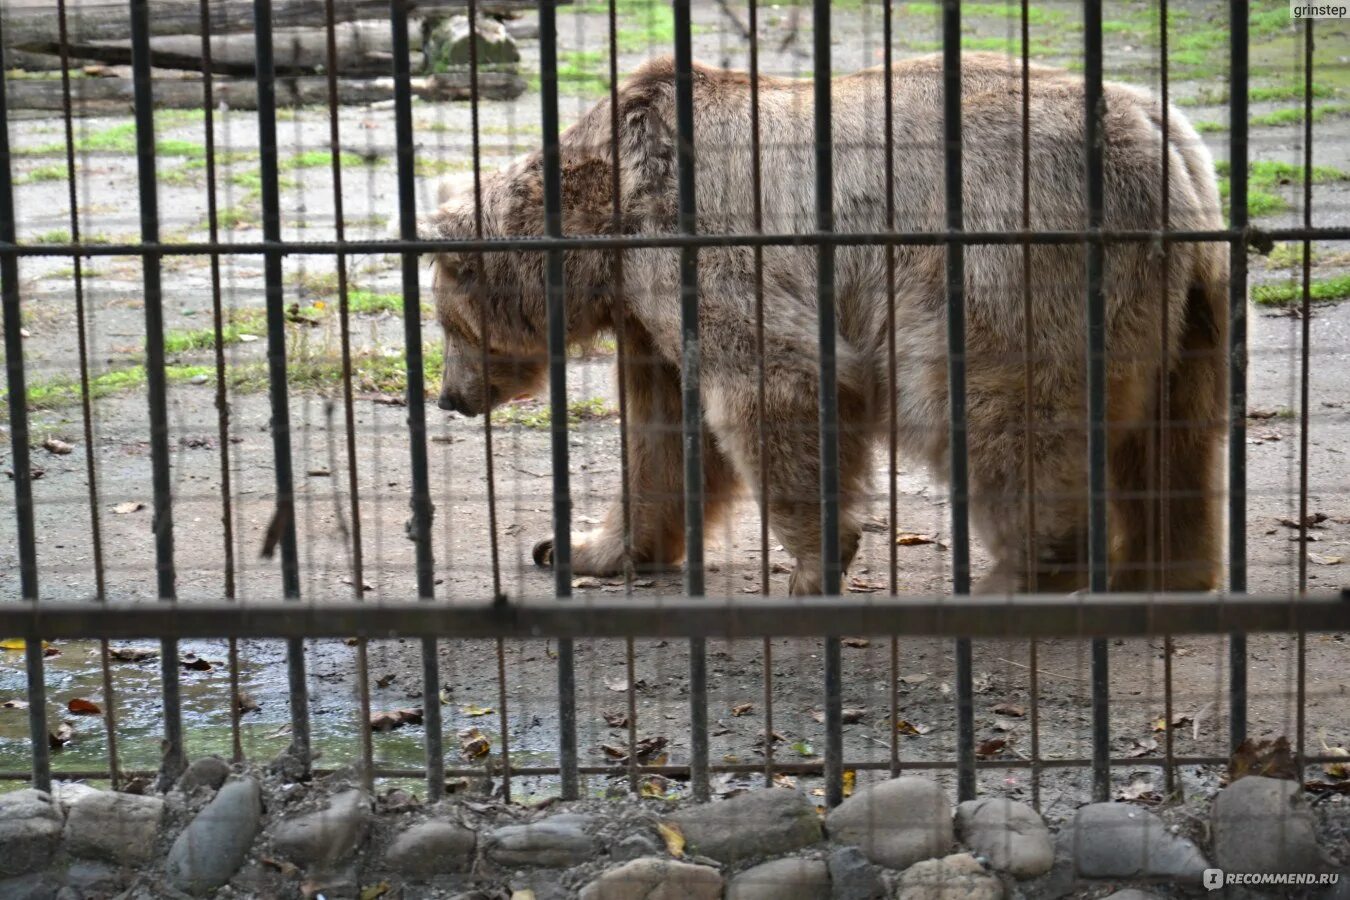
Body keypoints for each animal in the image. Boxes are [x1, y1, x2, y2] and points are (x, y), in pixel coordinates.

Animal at [426, 52, 1231, 593]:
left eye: (443, 325)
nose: (448, 397)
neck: (607, 221)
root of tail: (1160, 136)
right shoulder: (649, 315)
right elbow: (662, 439)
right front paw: (577, 545)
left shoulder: (706, 241)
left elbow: (774, 385)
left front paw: (817, 564)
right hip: (1191, 303)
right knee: (1176, 441)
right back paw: (1162, 569)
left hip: (1009, 264)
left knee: (995, 414)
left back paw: (1025, 572)